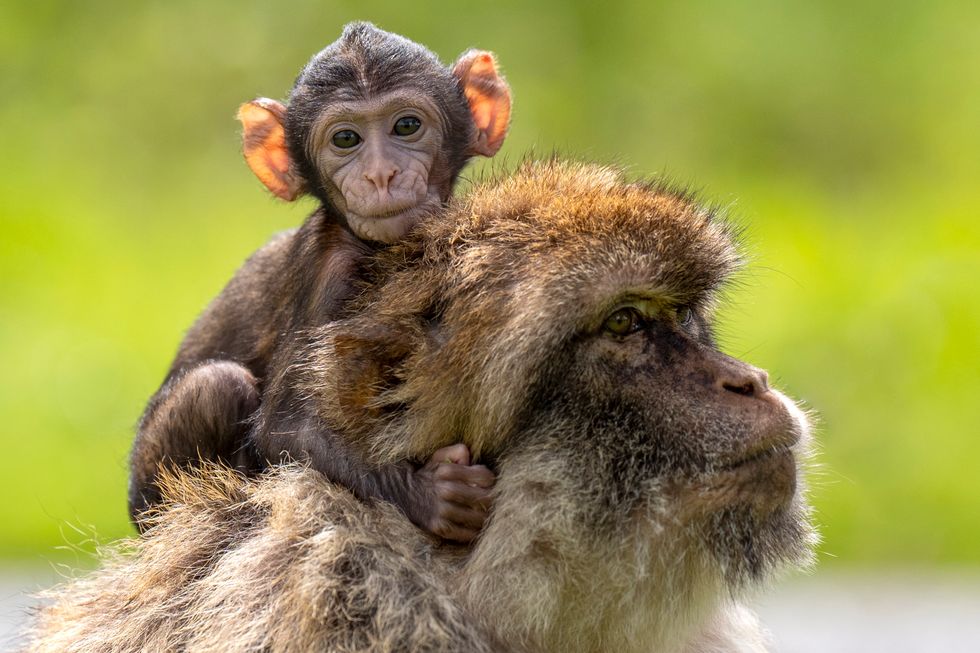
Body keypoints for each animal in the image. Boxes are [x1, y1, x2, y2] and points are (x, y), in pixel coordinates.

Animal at [127, 23, 511, 543]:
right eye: (345, 138)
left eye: (406, 126)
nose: (380, 174)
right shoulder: (326, 270)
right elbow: (286, 428)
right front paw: (433, 496)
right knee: (217, 385)